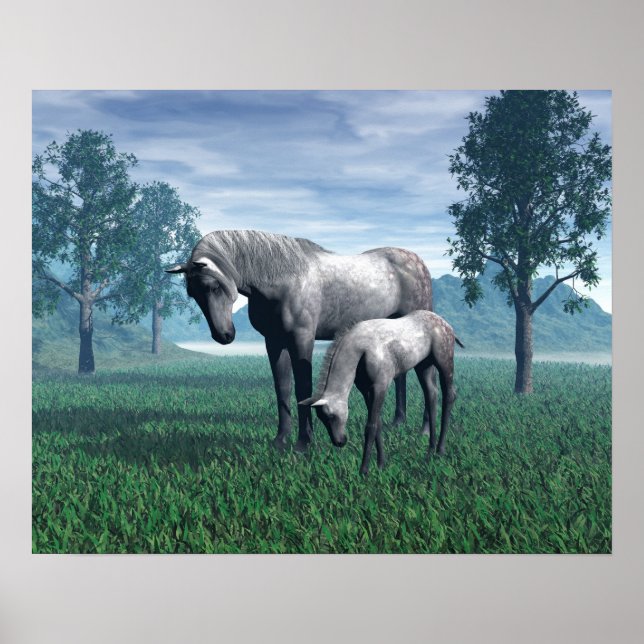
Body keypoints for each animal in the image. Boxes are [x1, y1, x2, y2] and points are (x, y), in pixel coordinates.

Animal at [166, 229, 433, 451]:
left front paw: (304, 443)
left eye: (213, 286)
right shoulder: (274, 342)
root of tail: (418, 263)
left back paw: (424, 431)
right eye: (192, 293)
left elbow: (303, 388)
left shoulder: (301, 340)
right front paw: (280, 439)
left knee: (427, 379)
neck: (284, 280)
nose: (223, 336)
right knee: (400, 376)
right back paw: (397, 422)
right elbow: (282, 388)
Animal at [299, 310, 462, 474]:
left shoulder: (380, 386)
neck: (359, 352)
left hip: (444, 361)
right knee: (431, 395)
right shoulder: (366, 390)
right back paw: (430, 451)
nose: (340, 441)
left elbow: (371, 426)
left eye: (331, 416)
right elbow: (378, 424)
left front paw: (364, 470)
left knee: (449, 395)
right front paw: (381, 464)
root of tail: (447, 325)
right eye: (321, 418)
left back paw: (440, 450)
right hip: (424, 365)